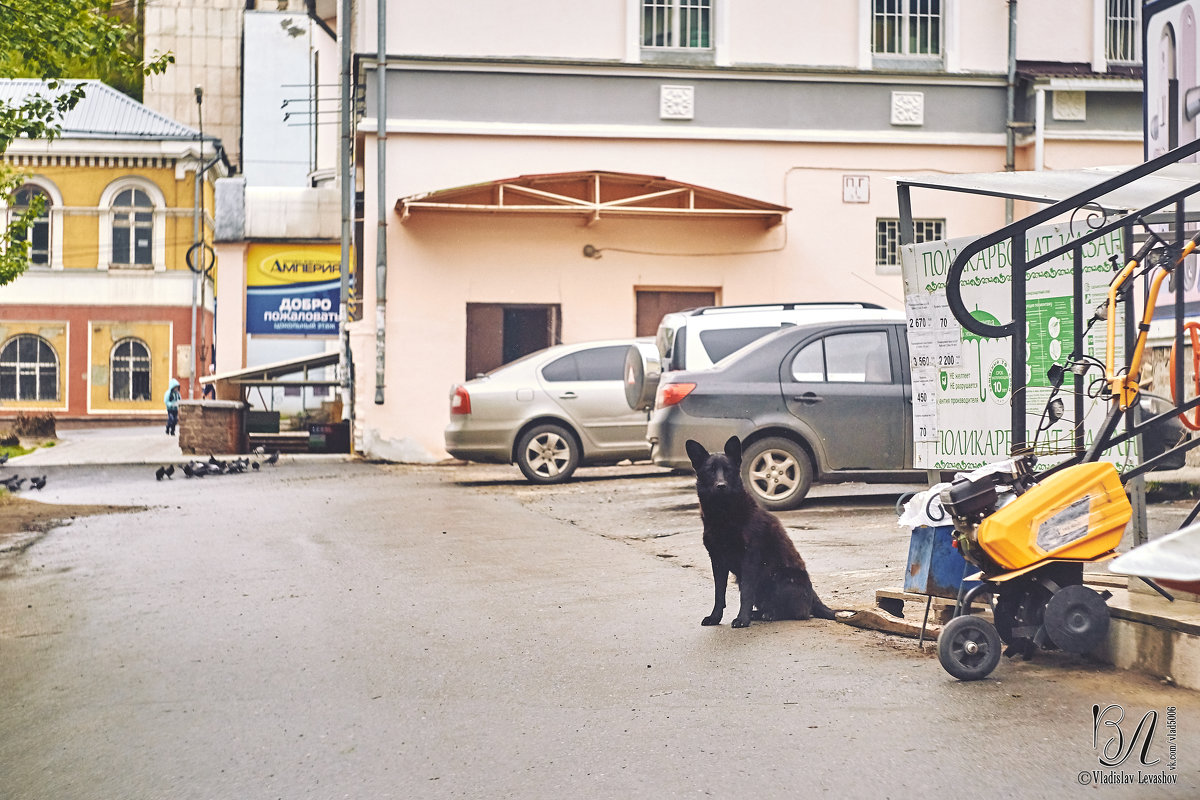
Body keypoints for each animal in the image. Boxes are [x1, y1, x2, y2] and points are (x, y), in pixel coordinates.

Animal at [686, 434, 835, 628]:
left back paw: (769, 615)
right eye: (710, 471)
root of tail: (813, 596)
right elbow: (719, 594)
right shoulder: (717, 560)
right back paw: (759, 614)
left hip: (779, 577)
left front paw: (742, 619)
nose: (721, 485)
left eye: (728, 470)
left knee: (797, 613)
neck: (724, 513)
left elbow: (746, 593)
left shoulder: (750, 559)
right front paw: (715, 617)